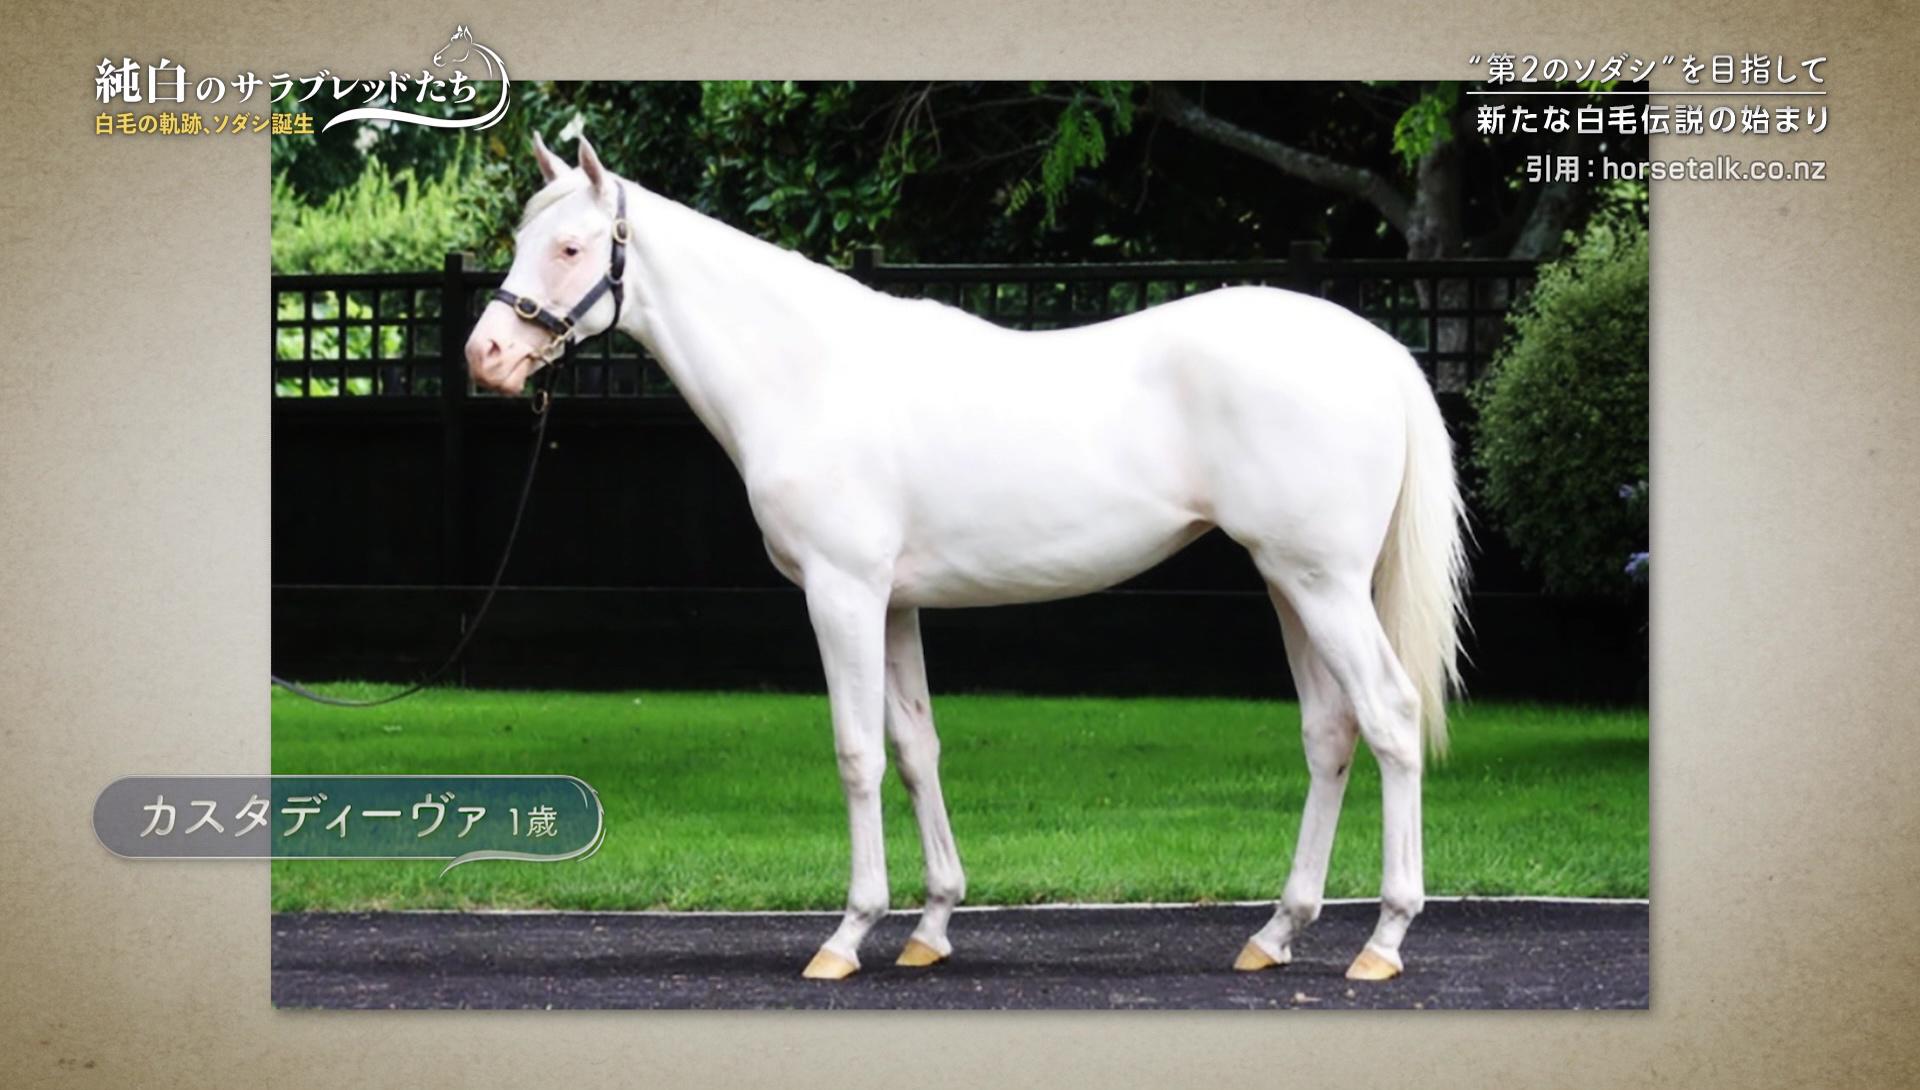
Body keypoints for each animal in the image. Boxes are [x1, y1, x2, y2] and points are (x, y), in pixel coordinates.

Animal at [465, 134, 1468, 983]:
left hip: (1323, 585)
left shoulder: (842, 595)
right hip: (1290, 584)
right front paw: (932, 926)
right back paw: (1276, 932)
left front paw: (848, 935)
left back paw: (1383, 940)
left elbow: (858, 753)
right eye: (523, 238)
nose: (488, 355)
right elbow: (917, 749)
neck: (808, 373)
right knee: (1330, 732)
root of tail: (1378, 350)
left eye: (570, 248)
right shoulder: (896, 604)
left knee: (1389, 716)